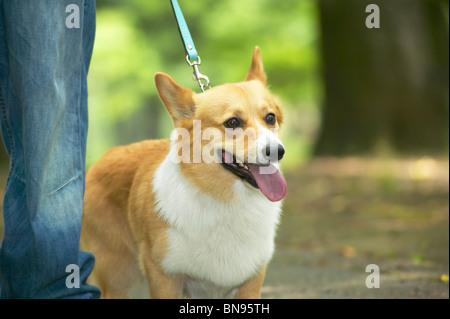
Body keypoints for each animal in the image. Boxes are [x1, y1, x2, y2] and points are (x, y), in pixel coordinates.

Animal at [82, 47, 286, 300]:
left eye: (270, 118)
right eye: (232, 122)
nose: (278, 151)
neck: (228, 201)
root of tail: (102, 158)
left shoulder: (250, 282)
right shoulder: (164, 277)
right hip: (118, 278)